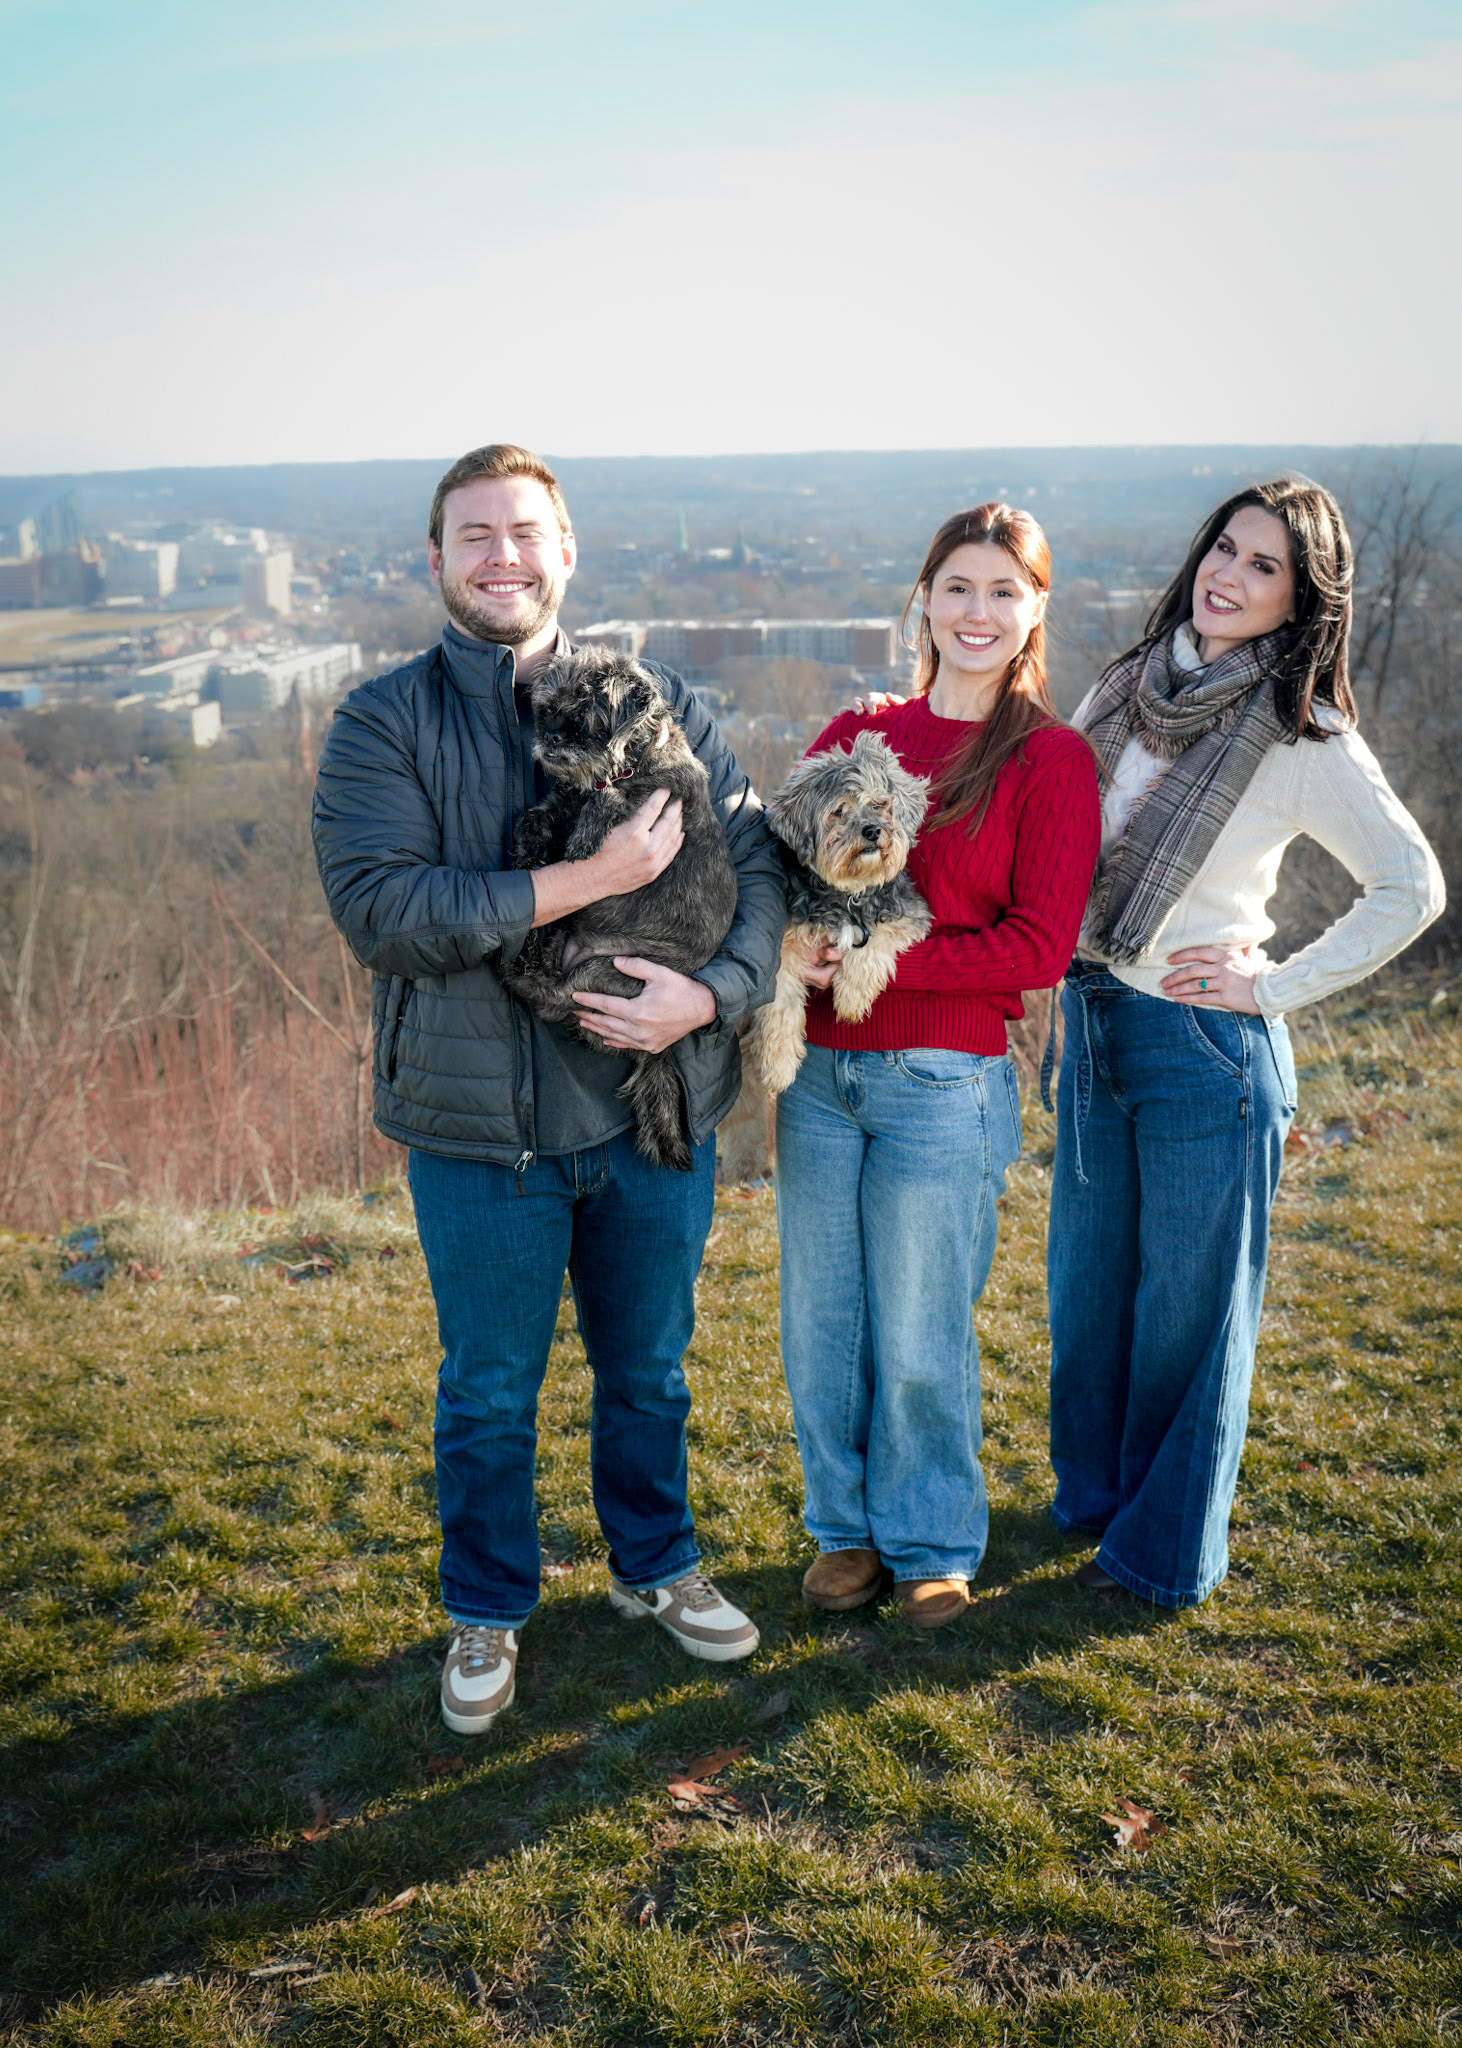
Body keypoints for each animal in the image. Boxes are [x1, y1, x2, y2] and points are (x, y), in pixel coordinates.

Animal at [500, 645, 738, 1171]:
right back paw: (536, 940)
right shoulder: (562, 800)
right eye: (545, 714)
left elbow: (614, 798)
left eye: (582, 720)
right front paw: (528, 850)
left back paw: (519, 967)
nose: (550, 739)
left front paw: (590, 827)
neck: (629, 762)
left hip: (603, 974)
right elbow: (537, 815)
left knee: (550, 998)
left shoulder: (659, 794)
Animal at [746, 729, 931, 1096]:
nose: (872, 830)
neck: (846, 895)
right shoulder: (783, 945)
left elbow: (875, 940)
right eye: (839, 811)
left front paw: (851, 998)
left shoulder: (908, 913)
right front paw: (779, 1065)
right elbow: (779, 1005)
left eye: (879, 804)